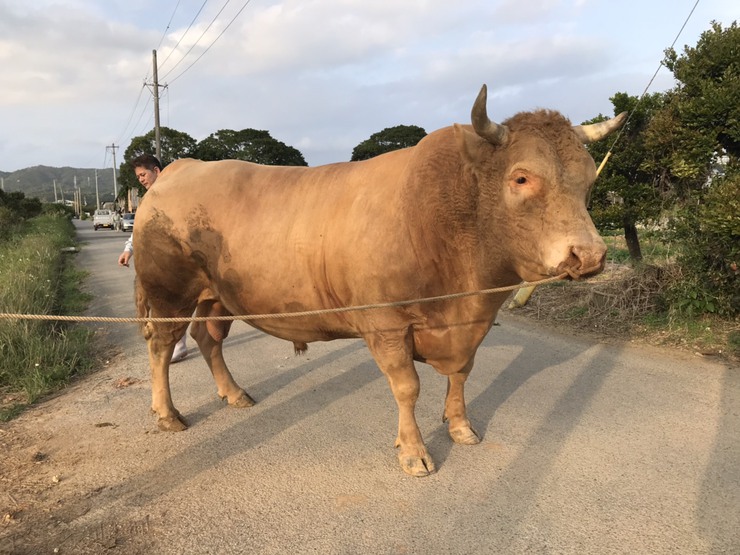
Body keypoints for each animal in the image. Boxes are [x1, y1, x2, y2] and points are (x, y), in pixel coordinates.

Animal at [133, 84, 624, 476]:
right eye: (521, 177)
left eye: (588, 180)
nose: (590, 255)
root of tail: (180, 169)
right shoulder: (386, 324)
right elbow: (407, 387)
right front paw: (414, 451)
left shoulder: (469, 325)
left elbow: (461, 374)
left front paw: (461, 427)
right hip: (170, 292)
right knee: (161, 345)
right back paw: (167, 414)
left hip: (218, 295)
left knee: (208, 337)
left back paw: (234, 394)